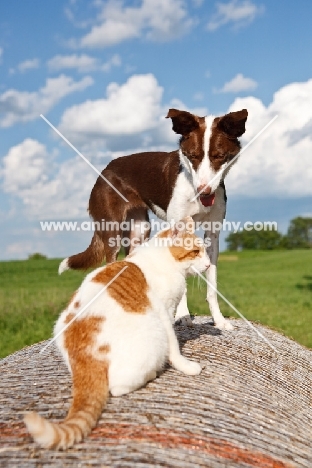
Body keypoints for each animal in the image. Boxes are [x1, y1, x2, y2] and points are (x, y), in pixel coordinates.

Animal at [24, 217, 210, 450]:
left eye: (205, 251)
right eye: (195, 251)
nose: (209, 264)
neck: (163, 259)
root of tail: (83, 353)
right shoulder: (165, 313)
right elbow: (175, 347)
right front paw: (186, 366)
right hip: (153, 333)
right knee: (117, 387)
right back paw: (152, 373)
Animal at [59, 108, 249, 330]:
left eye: (219, 156)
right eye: (193, 156)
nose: (204, 190)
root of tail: (105, 170)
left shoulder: (213, 233)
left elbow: (212, 286)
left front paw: (219, 321)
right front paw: (183, 317)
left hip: (140, 229)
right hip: (111, 231)